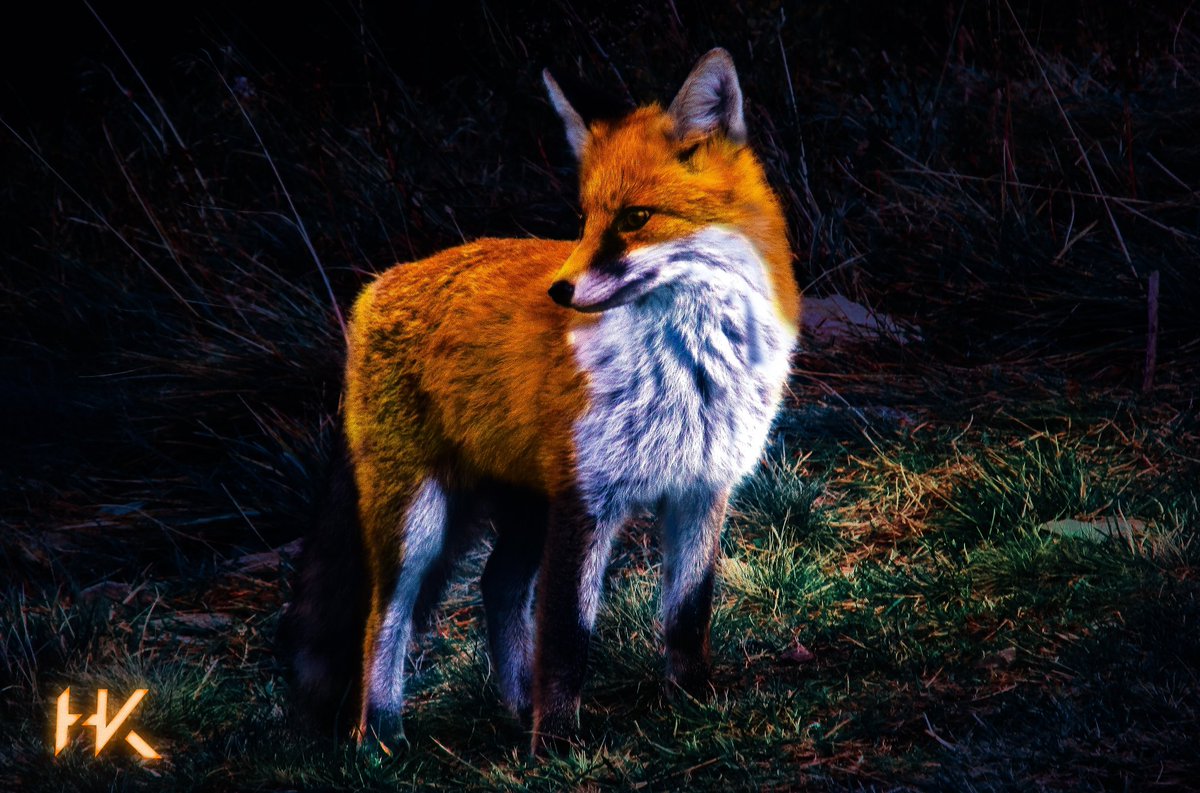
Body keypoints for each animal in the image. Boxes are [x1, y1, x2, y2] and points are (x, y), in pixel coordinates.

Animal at [283, 48, 801, 756]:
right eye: (583, 220)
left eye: (635, 218)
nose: (561, 291)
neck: (688, 365)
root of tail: (377, 285)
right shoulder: (588, 499)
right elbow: (564, 637)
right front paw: (555, 746)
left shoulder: (702, 488)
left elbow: (687, 617)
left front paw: (694, 704)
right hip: (418, 520)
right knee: (382, 617)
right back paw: (381, 738)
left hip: (528, 505)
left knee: (496, 586)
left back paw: (510, 707)